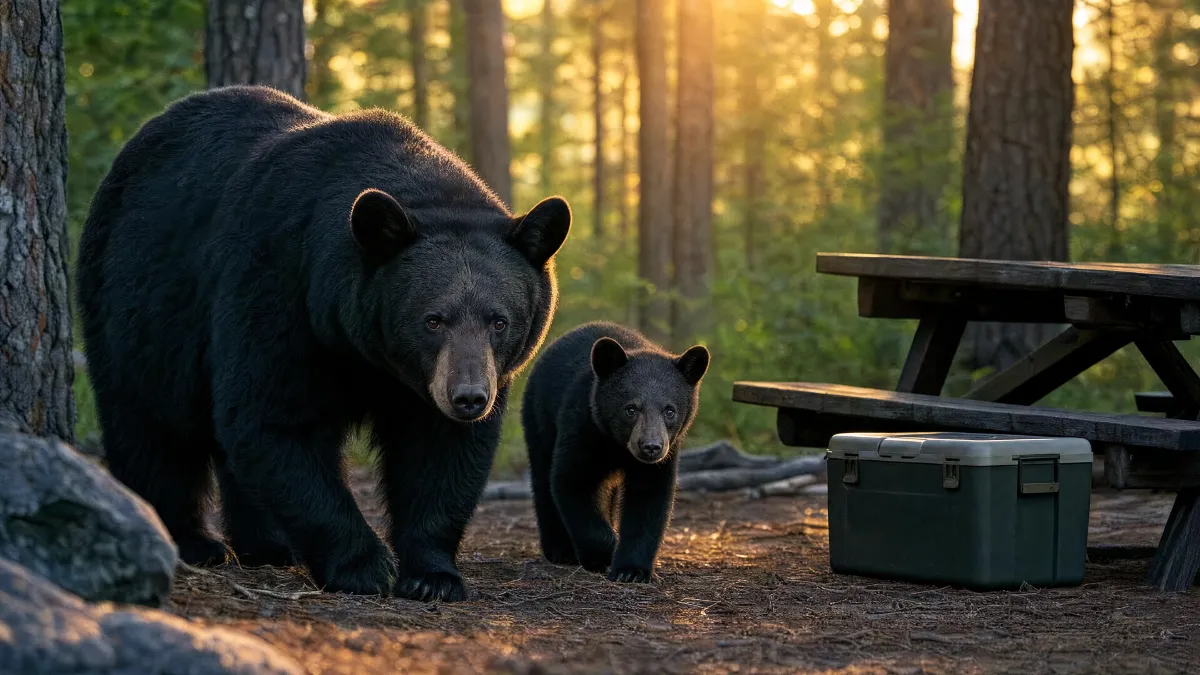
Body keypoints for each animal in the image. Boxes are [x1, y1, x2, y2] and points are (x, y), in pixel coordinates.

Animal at [75, 85, 571, 602]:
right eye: (432, 320)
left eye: (500, 321)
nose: (470, 396)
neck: (364, 352)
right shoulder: (281, 288)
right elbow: (274, 420)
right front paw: (364, 566)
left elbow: (441, 452)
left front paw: (432, 575)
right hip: (136, 304)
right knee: (150, 426)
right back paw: (193, 541)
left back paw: (268, 544)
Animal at [521, 321, 710, 583]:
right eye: (631, 409)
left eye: (669, 410)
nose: (651, 446)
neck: (617, 445)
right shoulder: (583, 427)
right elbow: (573, 481)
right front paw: (604, 554)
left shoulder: (663, 458)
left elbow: (649, 499)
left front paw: (631, 570)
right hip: (539, 419)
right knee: (542, 479)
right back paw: (560, 550)